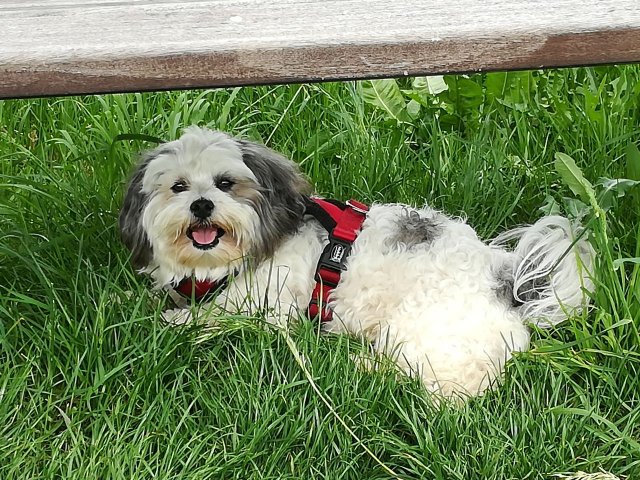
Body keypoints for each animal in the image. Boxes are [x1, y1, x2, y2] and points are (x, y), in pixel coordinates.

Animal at [119, 126, 594, 399]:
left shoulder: (268, 308)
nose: (201, 205)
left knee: (450, 388)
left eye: (225, 183)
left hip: (422, 330)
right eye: (178, 187)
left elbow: (215, 317)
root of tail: (503, 276)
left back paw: (363, 368)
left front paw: (174, 323)